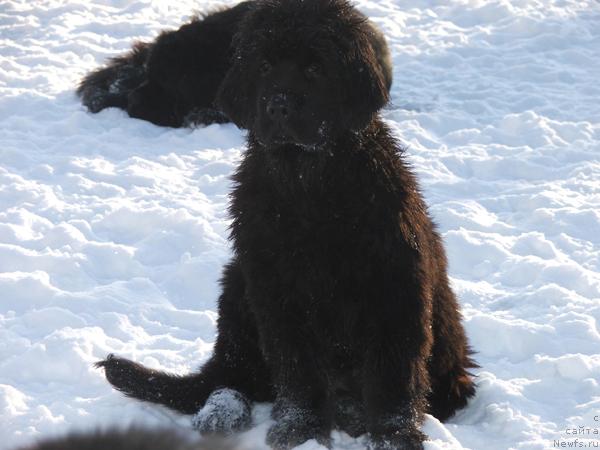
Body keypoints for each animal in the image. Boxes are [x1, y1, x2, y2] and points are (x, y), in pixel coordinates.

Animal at [96, 0, 476, 450]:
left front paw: (392, 436)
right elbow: (297, 368)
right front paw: (300, 429)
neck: (306, 181)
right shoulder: (275, 287)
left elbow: (392, 372)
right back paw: (223, 413)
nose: (278, 106)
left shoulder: (393, 282)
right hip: (237, 283)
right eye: (263, 66)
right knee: (230, 376)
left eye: (315, 68)